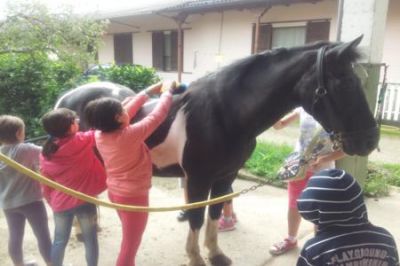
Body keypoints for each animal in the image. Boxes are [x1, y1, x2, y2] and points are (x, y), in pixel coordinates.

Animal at [55, 35, 378, 266]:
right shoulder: (199, 179)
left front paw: (215, 254)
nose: (370, 140)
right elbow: (197, 217)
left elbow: (214, 213)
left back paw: (87, 229)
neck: (223, 113)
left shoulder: (225, 177)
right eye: (345, 83)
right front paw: (196, 257)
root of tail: (67, 97)